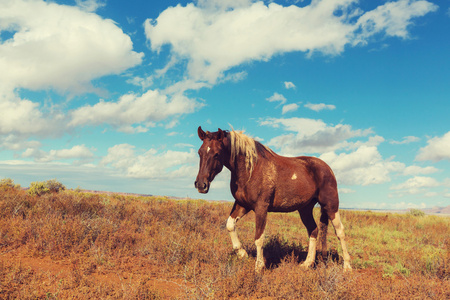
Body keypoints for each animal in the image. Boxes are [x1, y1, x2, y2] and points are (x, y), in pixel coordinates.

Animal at [194, 126, 352, 272]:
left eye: (216, 154)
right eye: (200, 152)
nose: (201, 185)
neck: (251, 169)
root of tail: (327, 168)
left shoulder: (261, 208)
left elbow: (259, 237)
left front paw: (259, 266)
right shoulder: (242, 205)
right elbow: (230, 225)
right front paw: (242, 253)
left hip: (331, 206)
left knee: (340, 232)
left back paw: (347, 266)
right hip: (305, 209)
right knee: (313, 230)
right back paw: (307, 264)